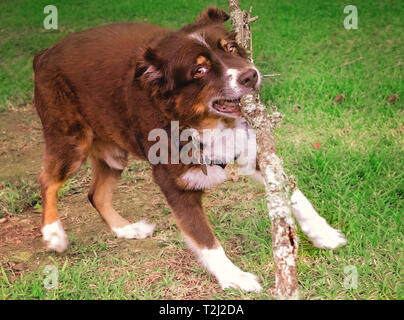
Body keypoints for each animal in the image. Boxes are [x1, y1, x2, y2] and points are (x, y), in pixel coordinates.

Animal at [33, 8, 346, 292]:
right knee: (47, 180)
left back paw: (127, 229)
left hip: (114, 154)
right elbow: (206, 241)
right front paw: (235, 277)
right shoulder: (175, 186)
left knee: (95, 194)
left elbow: (293, 193)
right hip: (71, 142)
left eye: (230, 47)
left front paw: (323, 233)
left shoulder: (250, 151)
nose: (250, 75)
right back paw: (53, 233)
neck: (202, 123)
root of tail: (44, 55)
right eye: (199, 70)